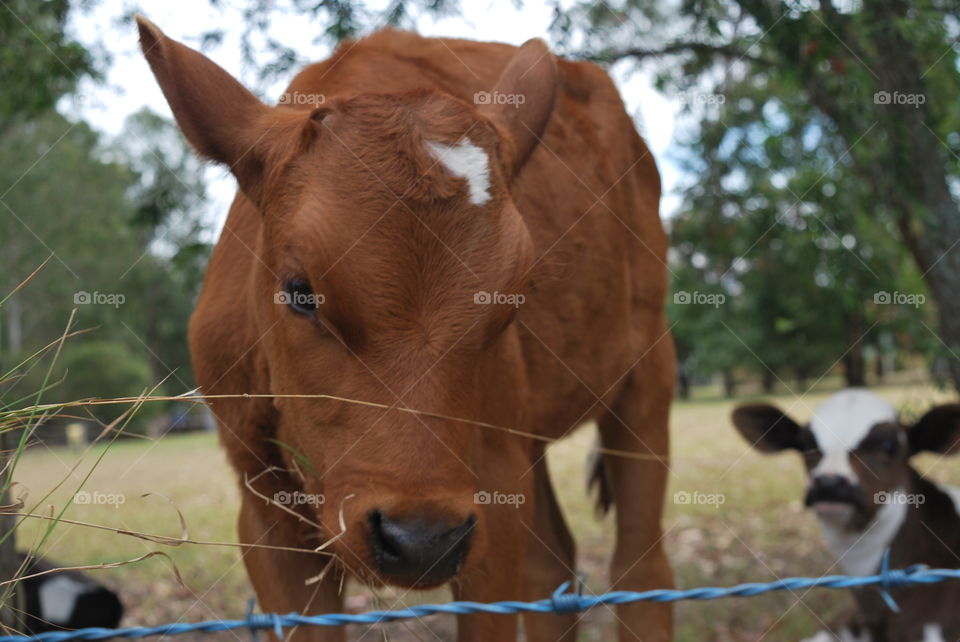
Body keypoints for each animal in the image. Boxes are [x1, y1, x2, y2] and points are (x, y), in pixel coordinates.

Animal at [136, 17, 675, 641]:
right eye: (299, 291)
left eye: (512, 301)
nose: (421, 541)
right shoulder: (263, 509)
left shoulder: (491, 500)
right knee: (553, 566)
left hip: (648, 371)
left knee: (642, 571)